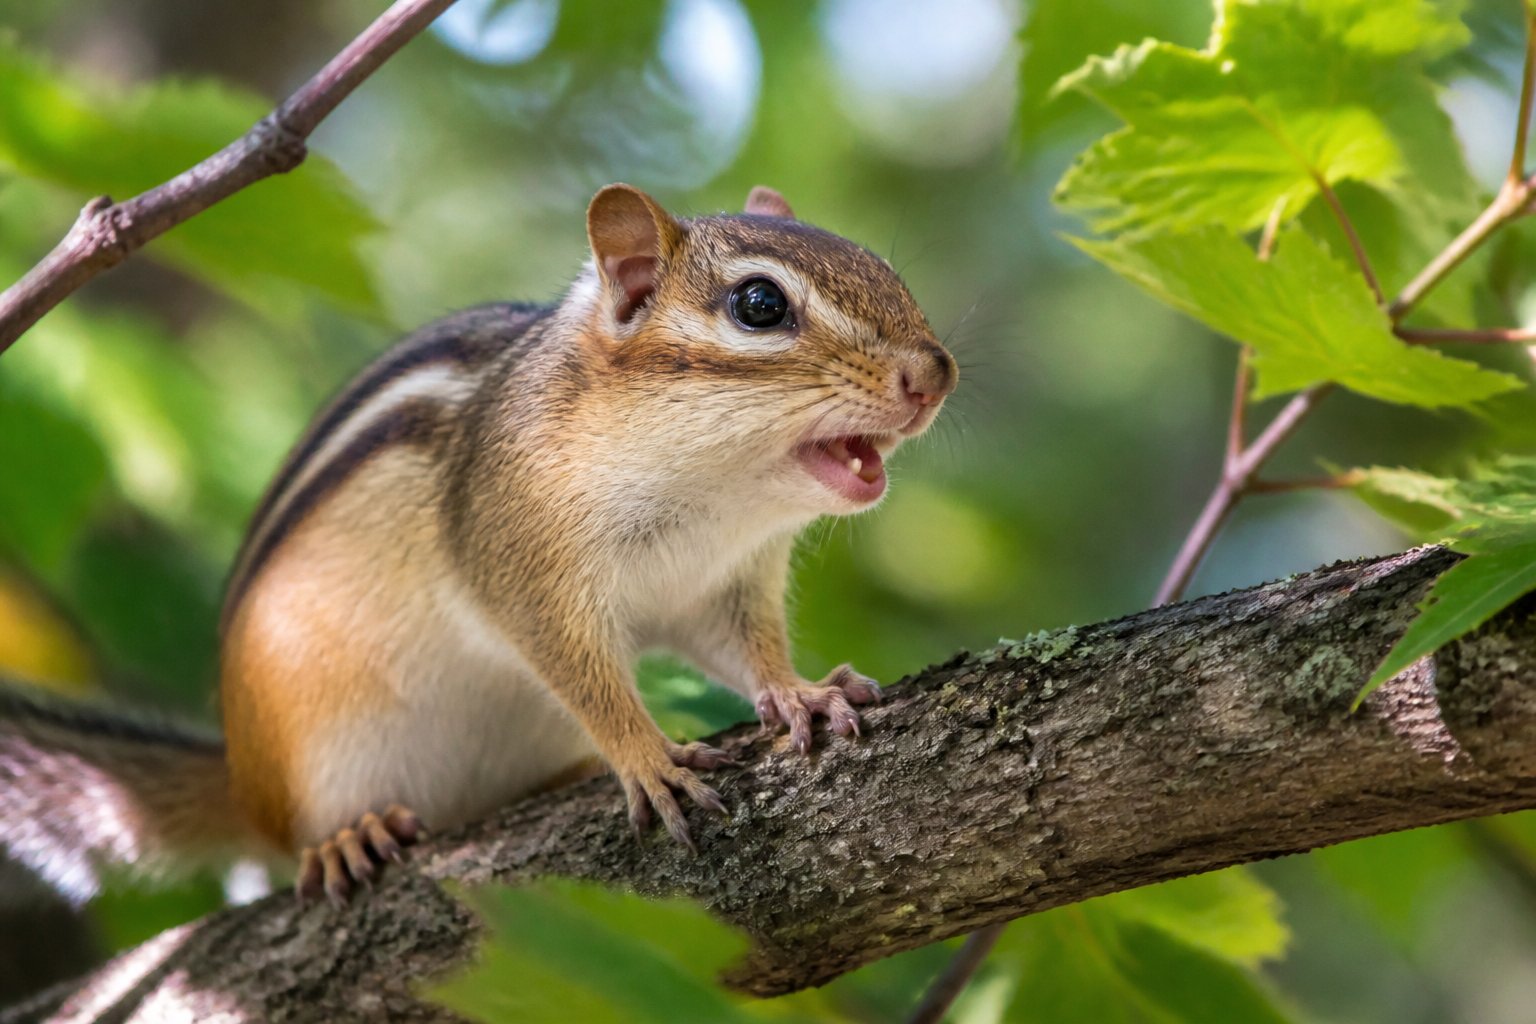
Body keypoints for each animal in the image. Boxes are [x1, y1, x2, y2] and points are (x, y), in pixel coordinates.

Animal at [0, 184, 956, 906]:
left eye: (886, 270)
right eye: (760, 305)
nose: (935, 373)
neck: (712, 499)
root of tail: (240, 777)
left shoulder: (726, 584)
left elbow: (747, 650)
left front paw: (801, 694)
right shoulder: (518, 562)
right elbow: (580, 671)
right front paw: (646, 757)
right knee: (298, 835)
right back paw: (347, 837)